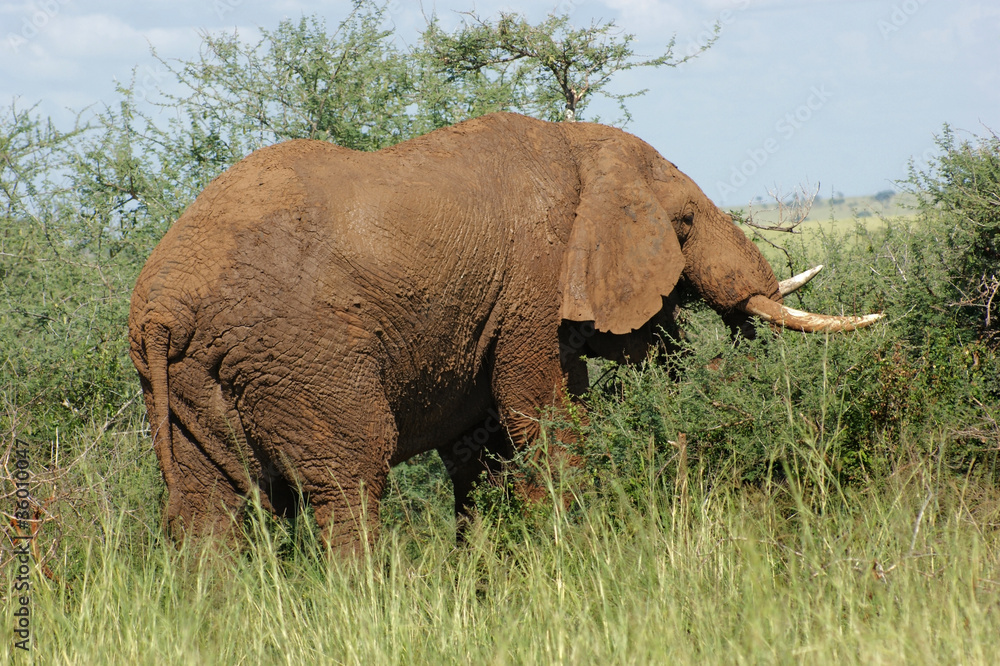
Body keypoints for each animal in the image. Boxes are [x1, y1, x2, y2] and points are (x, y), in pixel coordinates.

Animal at [129, 112, 880, 551]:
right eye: (687, 223)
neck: (582, 144)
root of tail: (164, 307)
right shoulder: (535, 283)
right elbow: (541, 413)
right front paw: (573, 548)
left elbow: (482, 449)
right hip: (302, 355)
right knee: (350, 480)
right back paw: (369, 601)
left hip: (196, 378)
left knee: (209, 507)